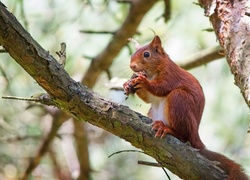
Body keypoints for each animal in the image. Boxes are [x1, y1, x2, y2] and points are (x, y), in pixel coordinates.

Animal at [123, 35, 248, 179]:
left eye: (146, 54)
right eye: (132, 54)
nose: (132, 66)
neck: (152, 73)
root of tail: (196, 137)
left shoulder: (171, 74)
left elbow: (161, 88)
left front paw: (143, 82)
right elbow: (149, 98)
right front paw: (127, 84)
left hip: (179, 100)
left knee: (183, 136)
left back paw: (166, 129)